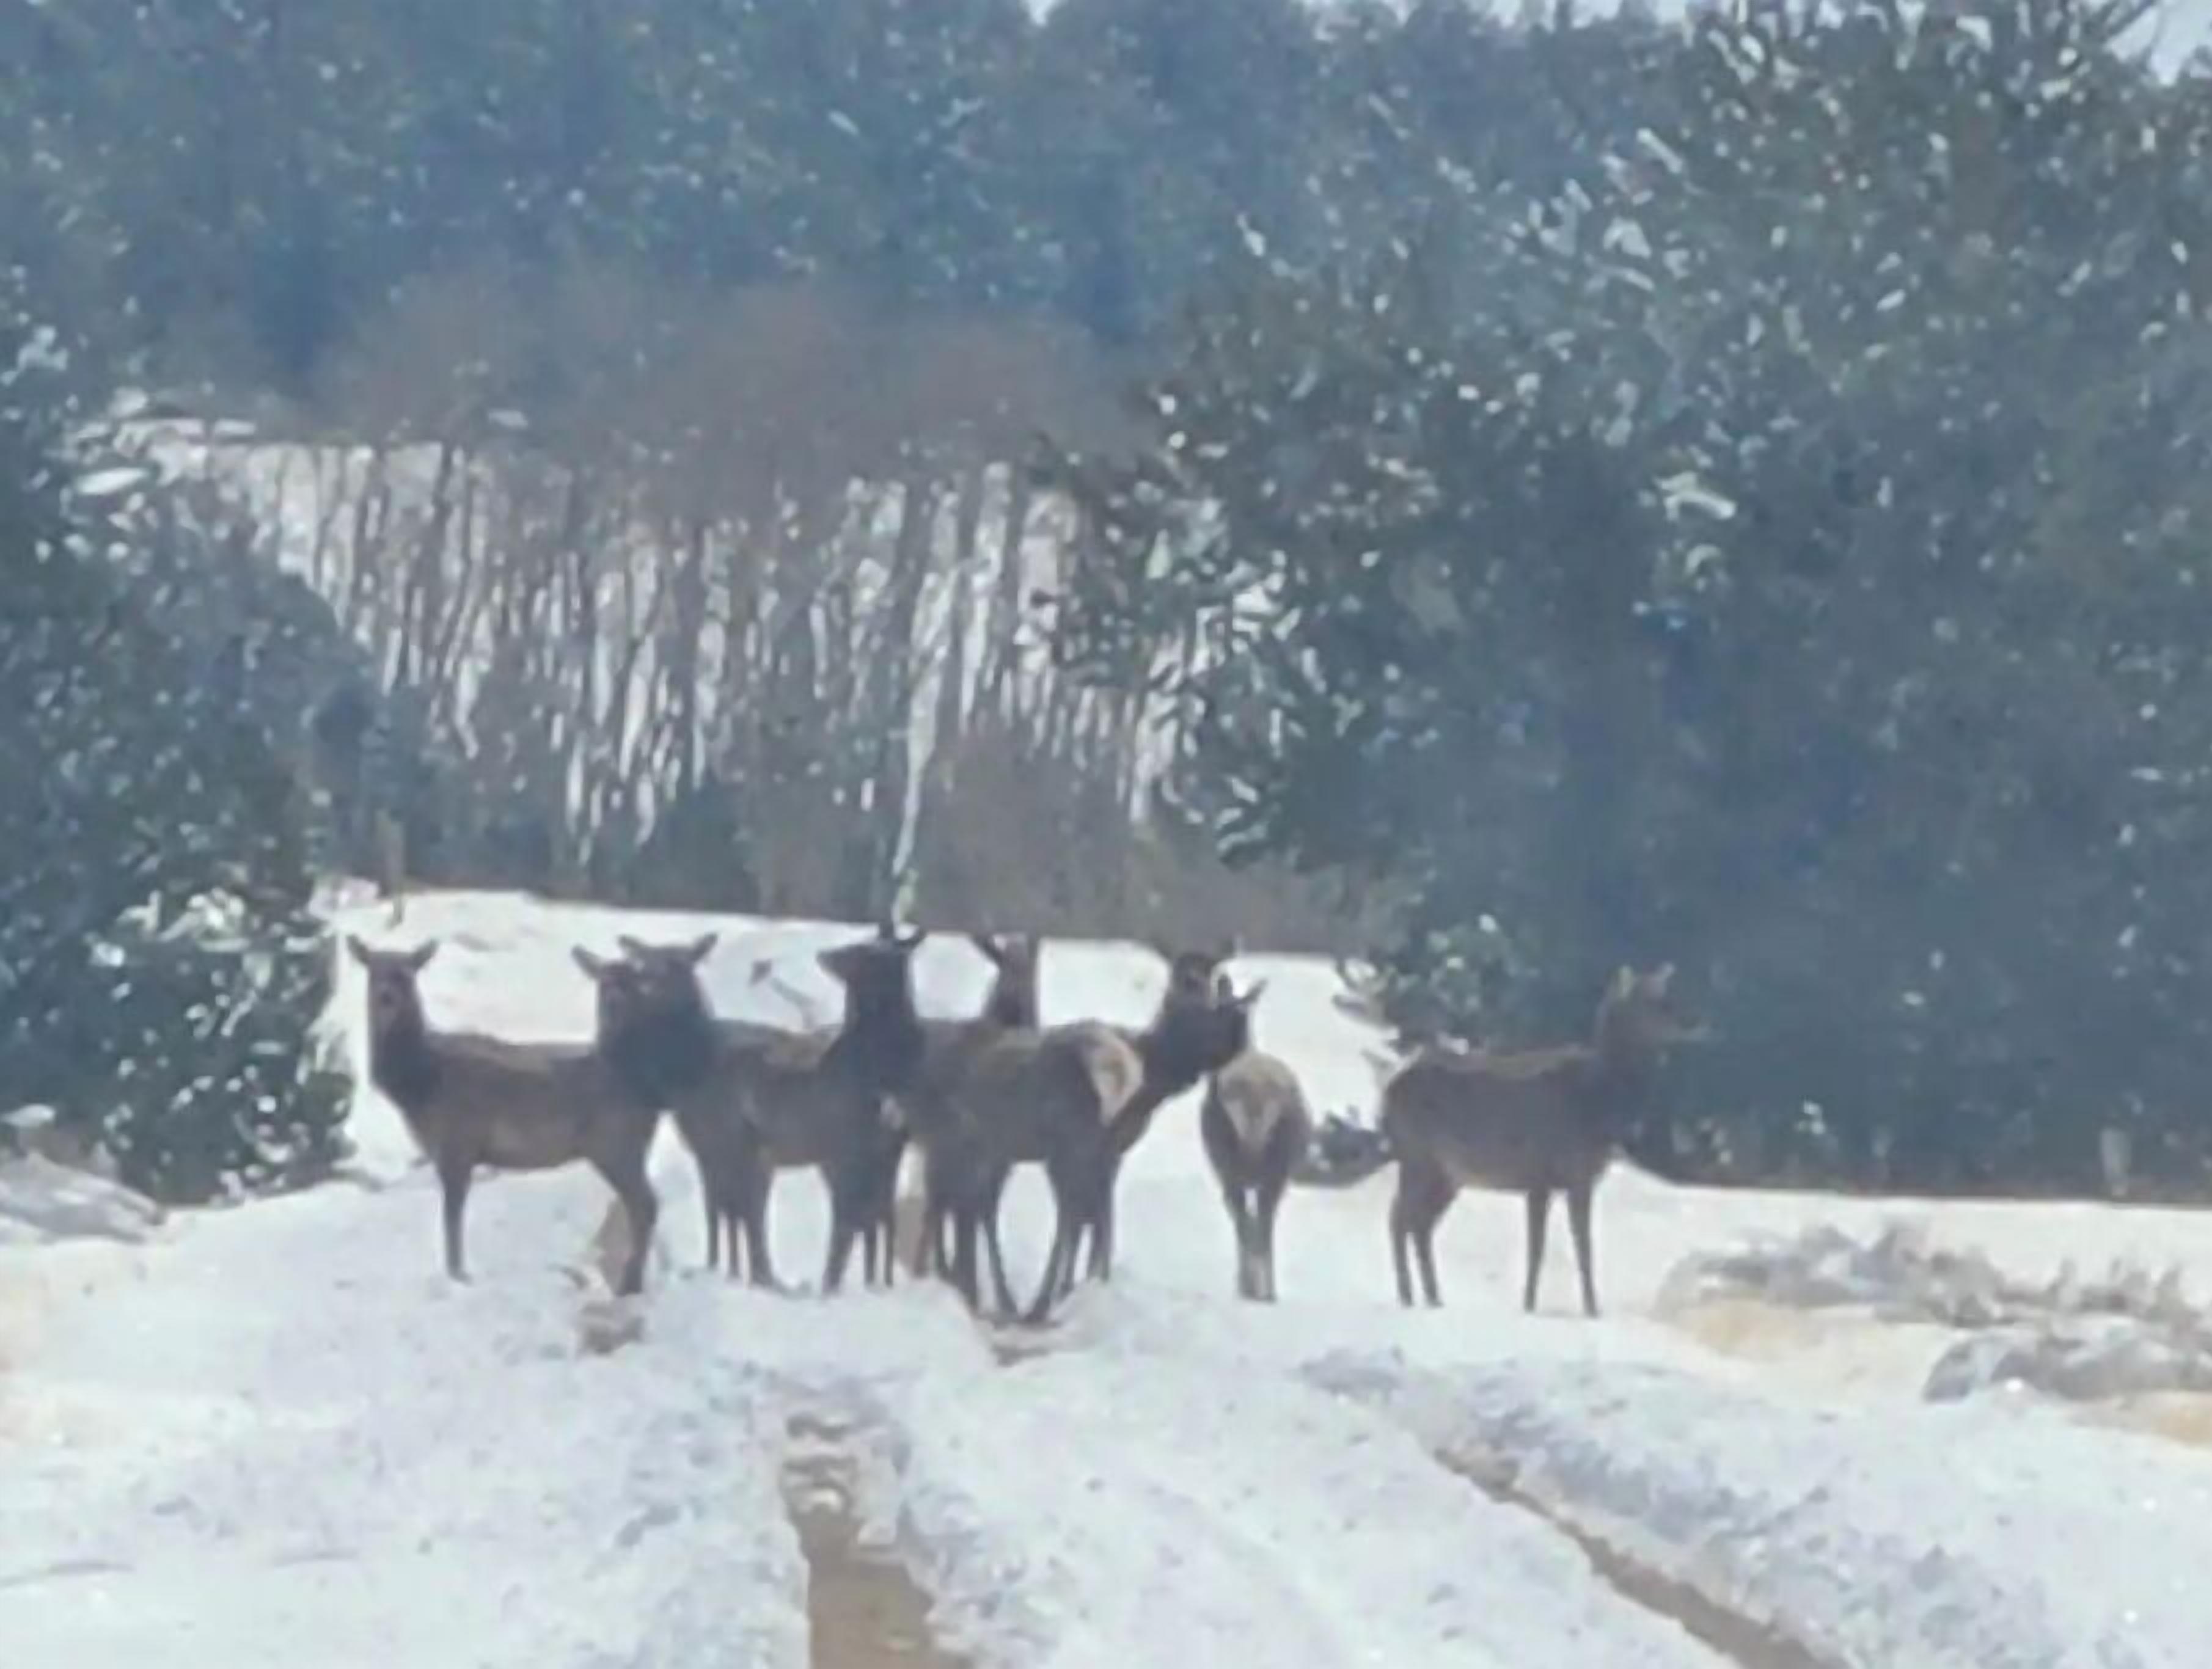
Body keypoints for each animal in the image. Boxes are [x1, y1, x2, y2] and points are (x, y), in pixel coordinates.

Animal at [345, 935, 661, 1296]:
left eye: (407, 974)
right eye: (373, 971)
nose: (386, 996)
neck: (420, 1083)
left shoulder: (457, 1143)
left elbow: (452, 1218)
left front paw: (458, 1274)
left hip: (616, 1144)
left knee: (646, 1205)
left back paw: (629, 1282)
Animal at [1197, 984, 1312, 1302]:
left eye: (1214, 1009)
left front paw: (1246, 1284)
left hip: (1231, 1160)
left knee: (1251, 1223)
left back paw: (1253, 1288)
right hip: (1275, 1166)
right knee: (1261, 1223)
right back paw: (1267, 1291)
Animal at [1381, 964, 1704, 1317]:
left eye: (1668, 994)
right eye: (1653, 1001)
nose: (1694, 1021)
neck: (1600, 1101)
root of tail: (1388, 1092)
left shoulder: (1566, 1179)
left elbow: (1560, 1246)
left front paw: (1542, 1304)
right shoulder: (1549, 1174)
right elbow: (1562, 1247)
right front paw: (1581, 1309)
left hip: (1447, 1175)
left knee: (1420, 1223)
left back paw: (1432, 1297)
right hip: (1417, 1155)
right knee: (1400, 1217)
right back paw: (1408, 1295)